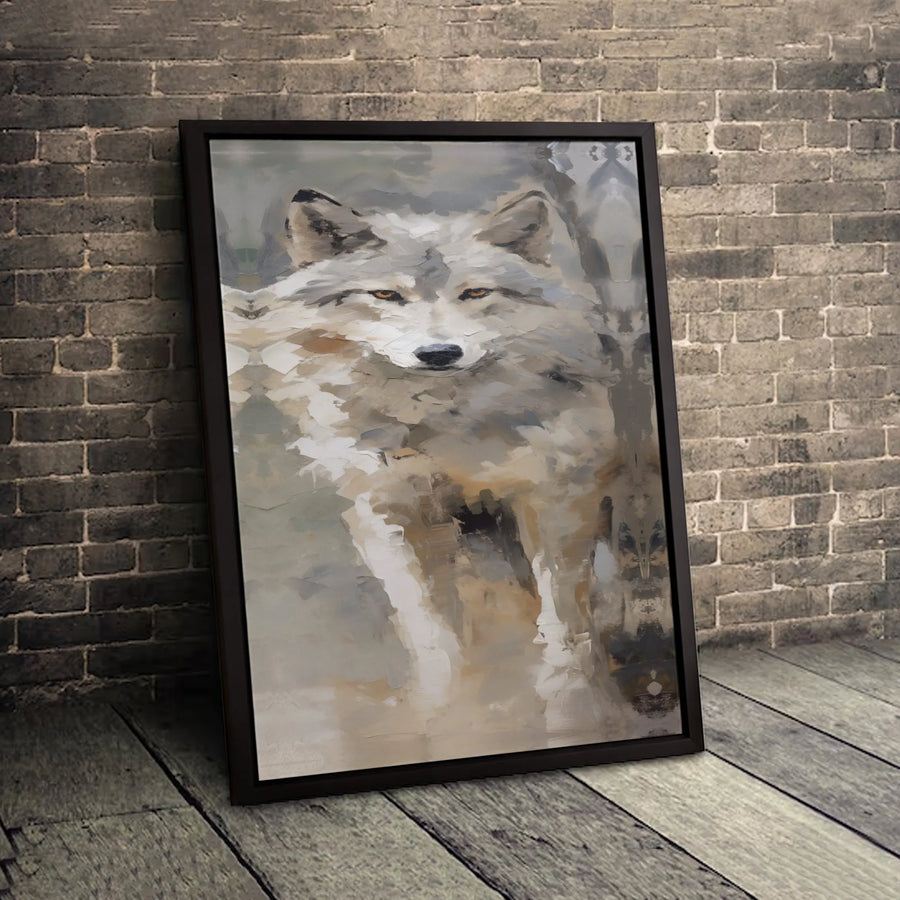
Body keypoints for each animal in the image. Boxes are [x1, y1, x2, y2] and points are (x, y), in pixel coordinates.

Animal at [224, 187, 622, 731]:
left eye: (475, 294)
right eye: (386, 296)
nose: (439, 353)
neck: (442, 430)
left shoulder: (554, 498)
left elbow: (561, 617)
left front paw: (570, 706)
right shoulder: (389, 511)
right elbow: (426, 621)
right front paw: (445, 707)